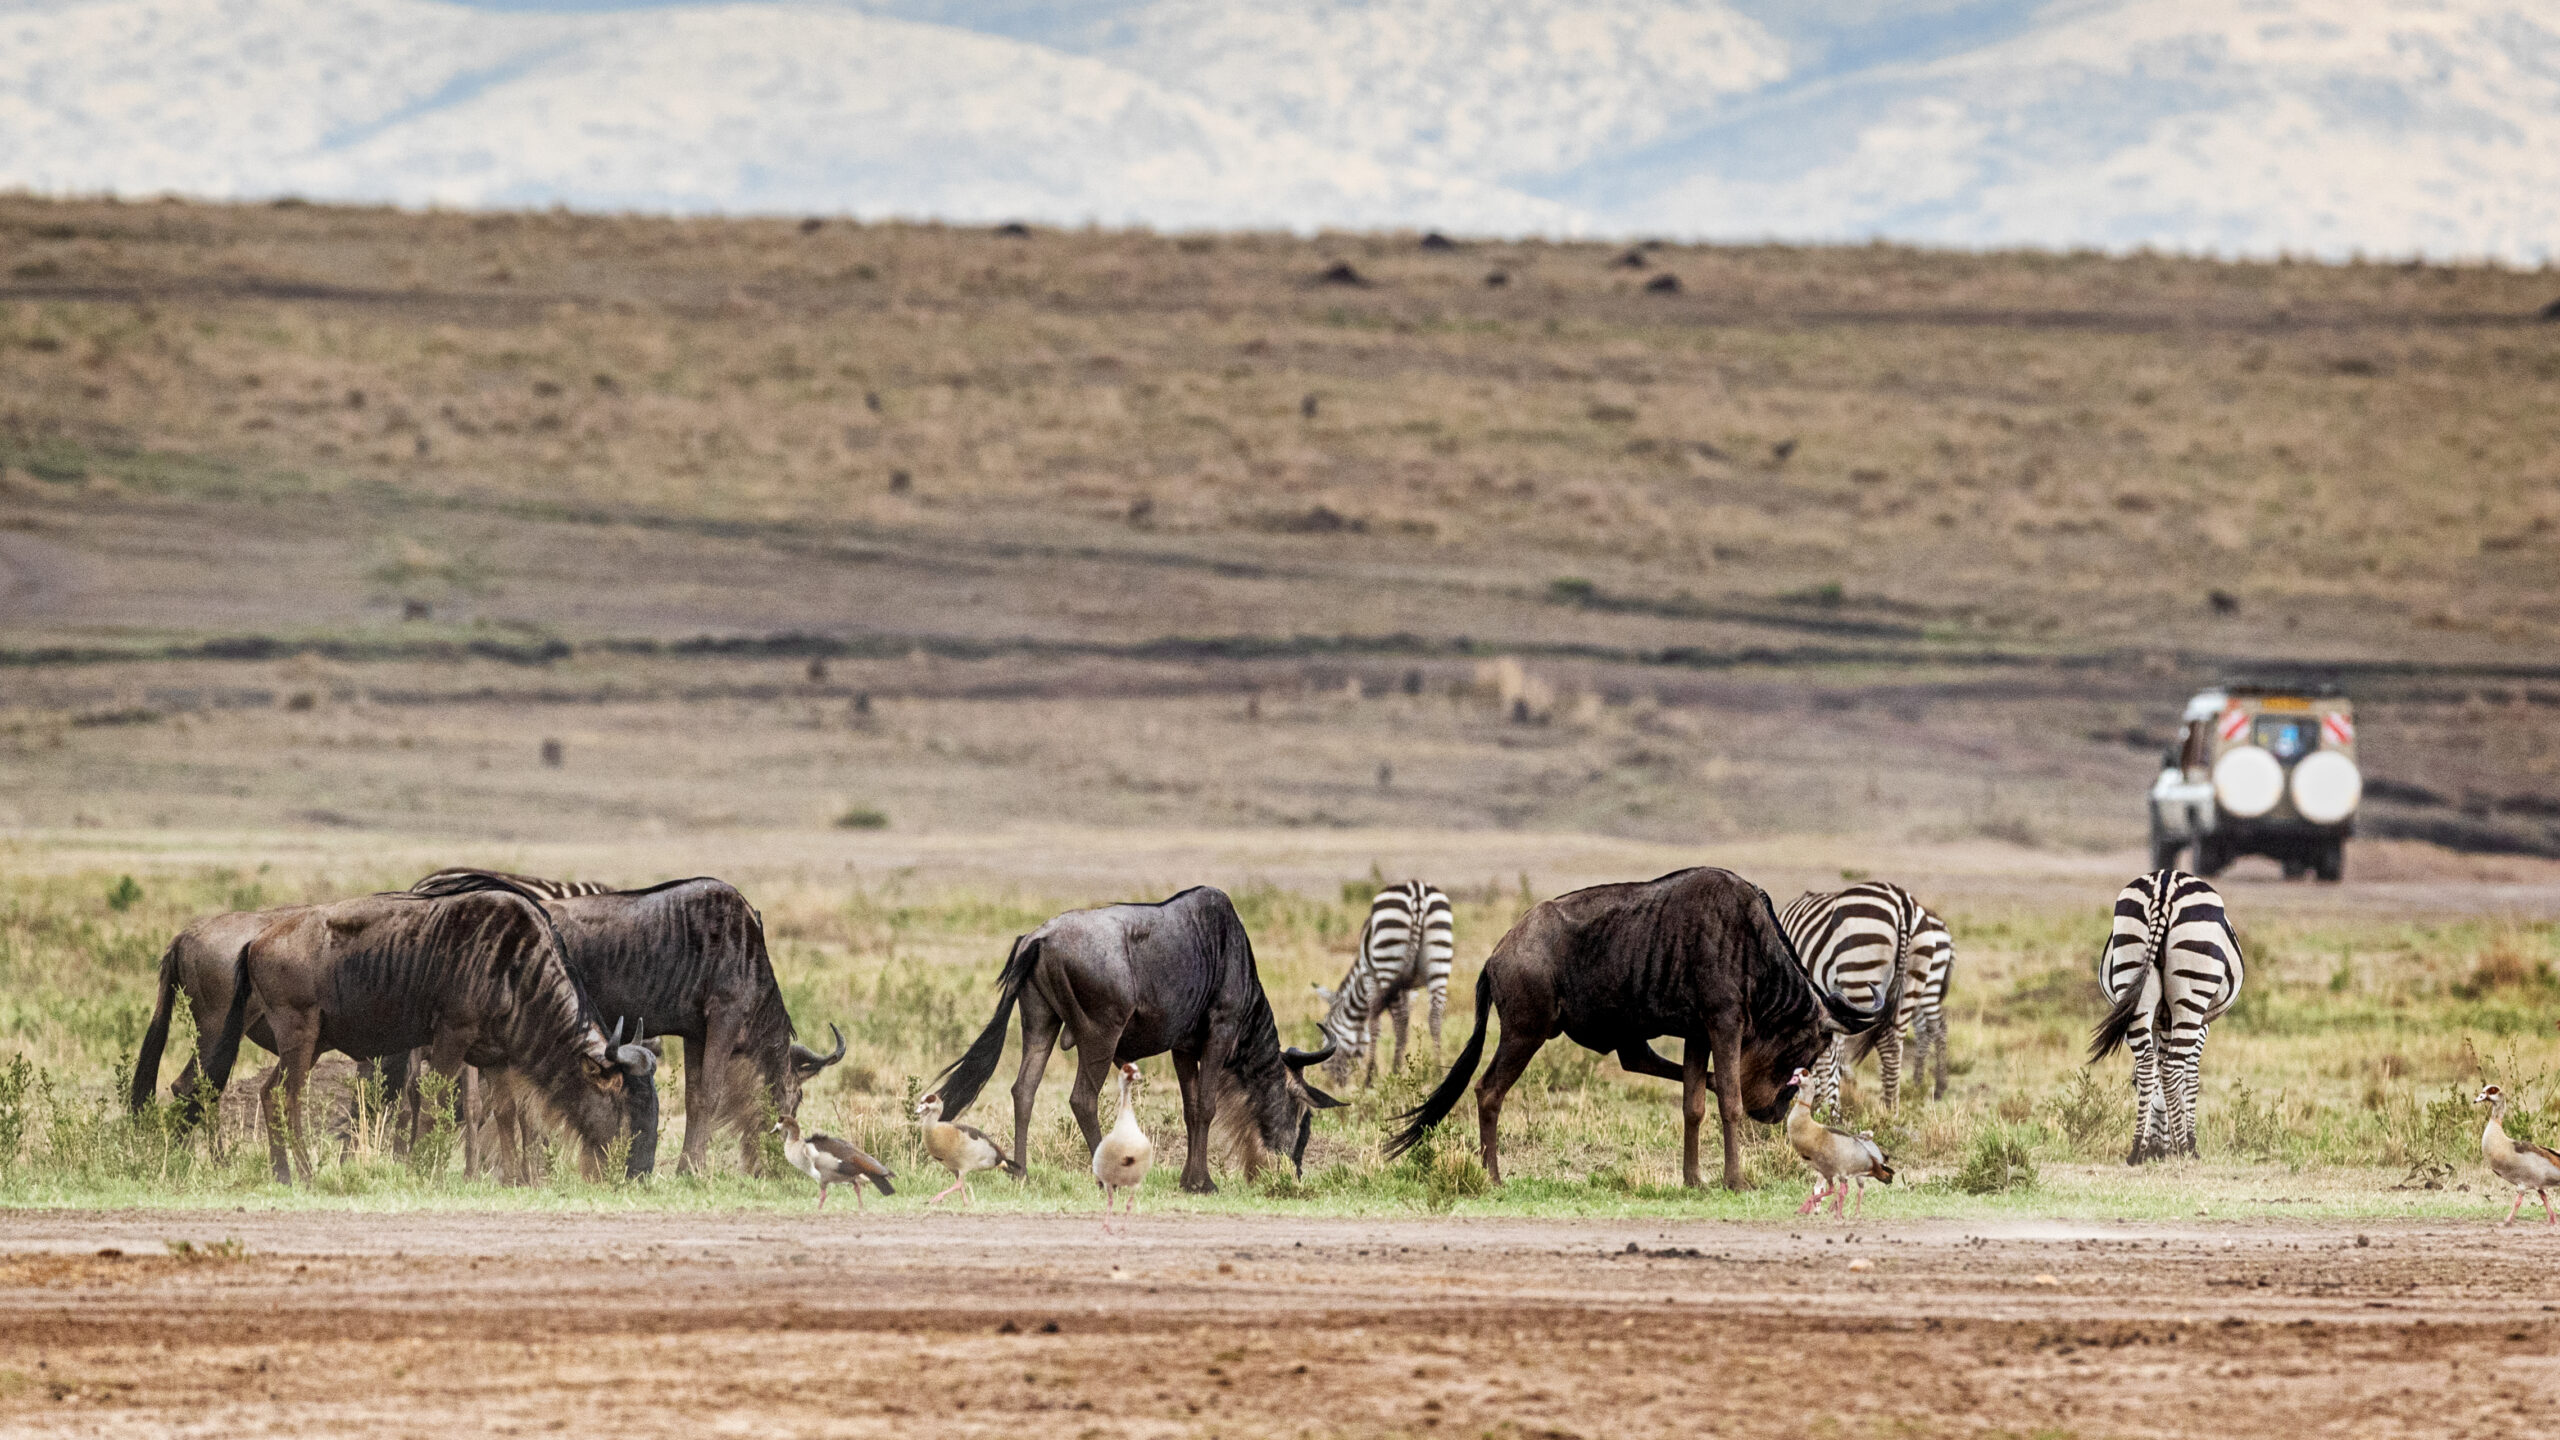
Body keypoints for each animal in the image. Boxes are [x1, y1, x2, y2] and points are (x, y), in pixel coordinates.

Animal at [1313, 881, 1455, 1089]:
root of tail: (1417, 891)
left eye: (1325, 1036)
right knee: (1434, 1017)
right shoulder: (1409, 991)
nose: (1332, 1083)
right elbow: (1404, 1023)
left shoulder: (1370, 978)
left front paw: (1373, 1077)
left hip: (1389, 958)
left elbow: (1376, 1023)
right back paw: (1438, 1074)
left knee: (1397, 1019)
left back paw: (1387, 1074)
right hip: (1439, 960)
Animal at [1780, 881, 1922, 1118]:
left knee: (1885, 1042)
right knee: (1894, 1043)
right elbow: (1832, 1052)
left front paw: (1823, 1105)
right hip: (1911, 984)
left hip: (1861, 975)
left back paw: (1886, 1110)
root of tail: (1903, 906)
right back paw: (1891, 1109)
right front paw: (1828, 1105)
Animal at [2088, 870, 2243, 1164]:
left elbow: (2148, 1076)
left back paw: (2137, 1148)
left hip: (2134, 980)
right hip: (2191, 995)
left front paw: (2157, 1143)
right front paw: (2181, 1140)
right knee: (2171, 1069)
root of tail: (2164, 884)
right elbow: (2190, 1077)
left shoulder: (2160, 1023)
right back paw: (2184, 1148)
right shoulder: (2202, 1025)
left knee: (2148, 1065)